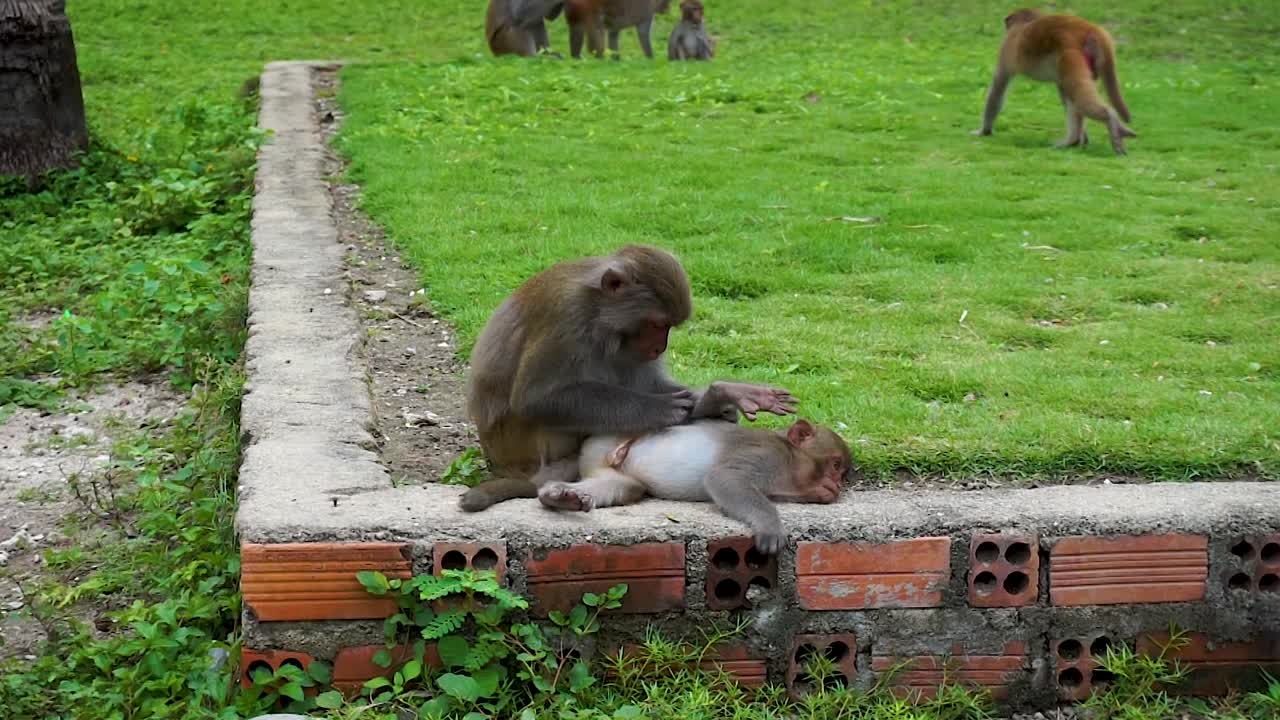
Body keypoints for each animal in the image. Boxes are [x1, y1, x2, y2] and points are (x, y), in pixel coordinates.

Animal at [459, 244, 799, 512]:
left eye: (669, 327)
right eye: (657, 324)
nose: (661, 346)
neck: (598, 312)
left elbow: (646, 383)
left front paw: (724, 395)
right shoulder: (566, 314)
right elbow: (536, 398)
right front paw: (661, 410)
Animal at [539, 418, 854, 554]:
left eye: (843, 474)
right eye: (835, 465)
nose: (838, 485)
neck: (790, 460)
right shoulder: (767, 456)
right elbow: (724, 477)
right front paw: (770, 526)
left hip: (608, 466)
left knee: (623, 486)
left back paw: (562, 497)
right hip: (608, 439)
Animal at [975, 8, 1136, 155]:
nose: (1006, 25)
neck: (1024, 24)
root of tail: (1090, 28)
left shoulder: (1006, 48)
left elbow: (998, 86)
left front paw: (984, 131)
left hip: (1069, 54)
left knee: (1075, 92)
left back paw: (1102, 121)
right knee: (1069, 91)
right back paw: (1076, 139)